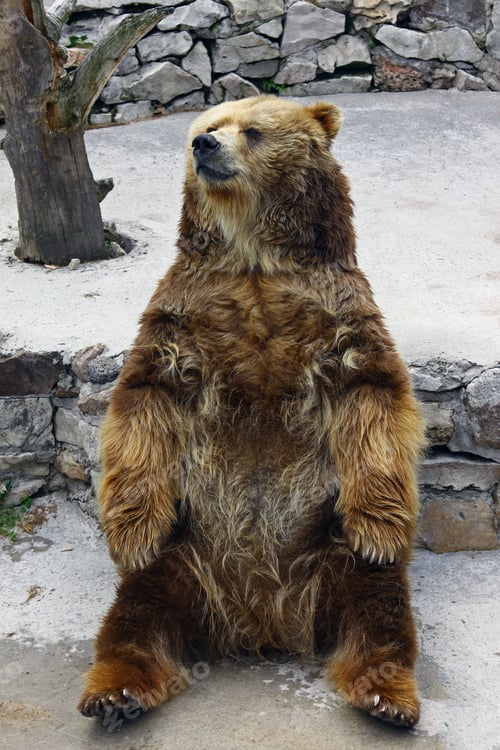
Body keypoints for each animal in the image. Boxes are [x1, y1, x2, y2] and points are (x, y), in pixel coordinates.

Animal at [78, 95, 424, 729]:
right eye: (207, 125)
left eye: (254, 131)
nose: (205, 146)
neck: (254, 255)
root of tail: (262, 618)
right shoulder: (183, 315)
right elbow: (145, 398)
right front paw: (131, 531)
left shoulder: (337, 312)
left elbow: (372, 395)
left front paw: (380, 528)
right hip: (183, 551)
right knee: (136, 614)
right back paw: (116, 693)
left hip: (329, 545)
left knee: (378, 608)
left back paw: (386, 696)